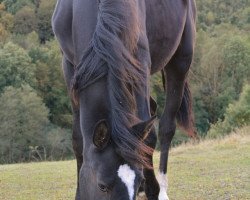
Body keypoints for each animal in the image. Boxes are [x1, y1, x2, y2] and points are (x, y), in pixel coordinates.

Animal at [52, 0, 196, 200]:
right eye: (102, 186)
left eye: (137, 181)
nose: (142, 184)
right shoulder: (69, 66)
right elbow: (78, 139)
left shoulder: (141, 65)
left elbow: (149, 137)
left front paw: (152, 189)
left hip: (181, 60)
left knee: (166, 127)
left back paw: (162, 189)